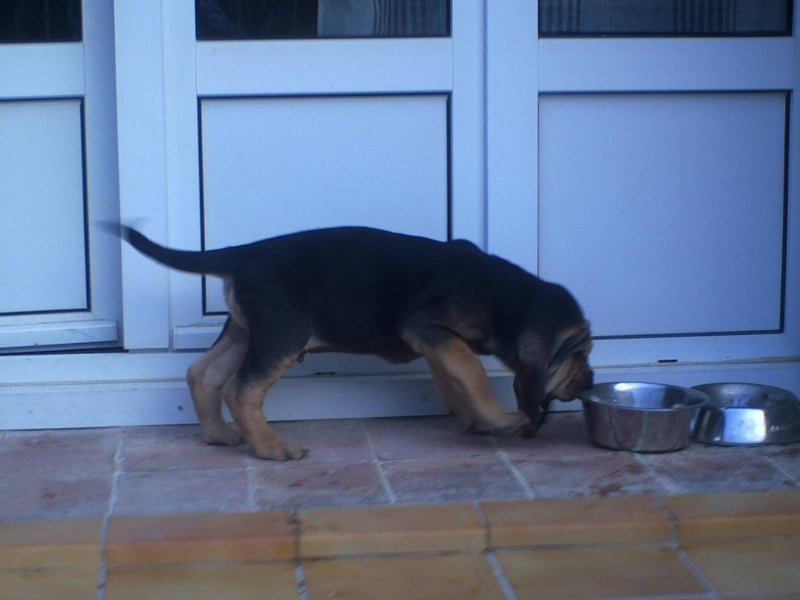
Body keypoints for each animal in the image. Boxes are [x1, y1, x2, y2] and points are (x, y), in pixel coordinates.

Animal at [118, 225, 593, 460]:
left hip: (246, 329)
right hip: (282, 333)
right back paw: (271, 448)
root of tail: (243, 253)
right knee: (242, 389)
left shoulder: (433, 341)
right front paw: (501, 418)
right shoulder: (428, 327)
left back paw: (219, 435)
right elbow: (471, 370)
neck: (505, 295)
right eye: (581, 353)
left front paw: (477, 420)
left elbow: (453, 377)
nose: (589, 381)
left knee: (203, 373)